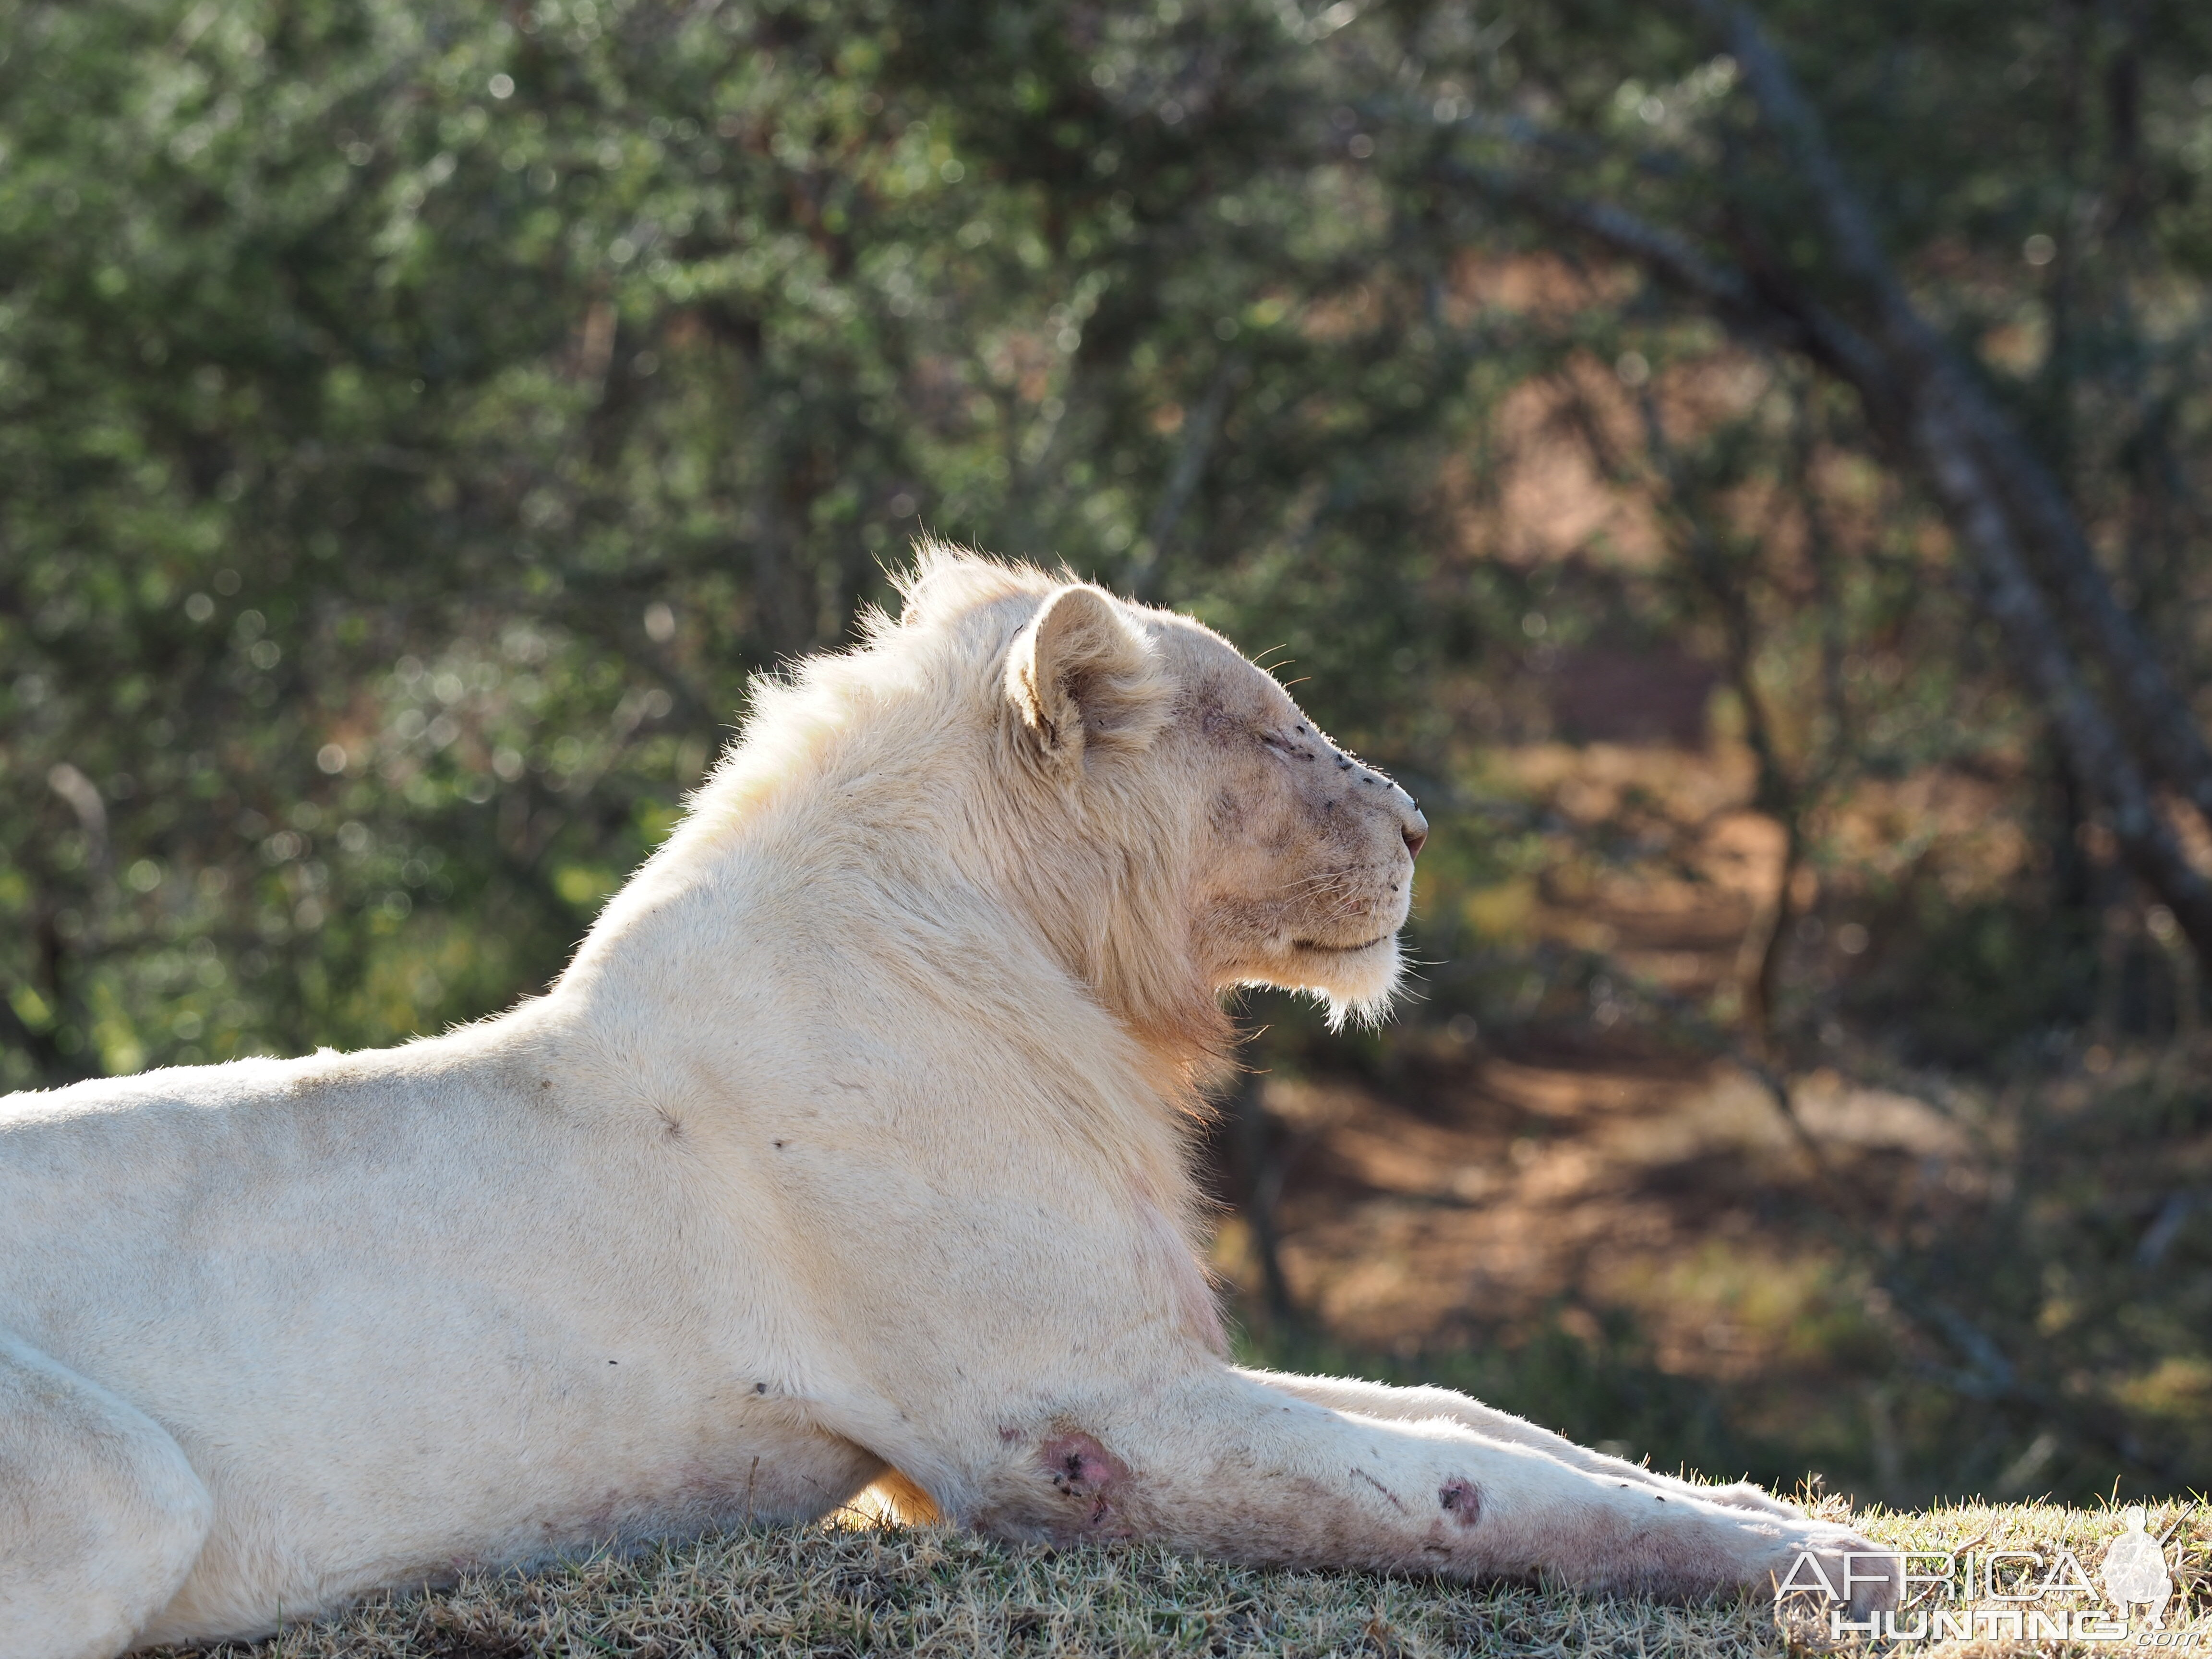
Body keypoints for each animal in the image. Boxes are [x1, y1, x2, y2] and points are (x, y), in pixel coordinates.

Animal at [4, 553, 1902, 1654]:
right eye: (1275, 737)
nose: (1423, 824)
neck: (1057, 975)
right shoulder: (1068, 1428)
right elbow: (1463, 1499)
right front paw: (1833, 1567)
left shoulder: (1142, 1346)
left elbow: (1476, 1421)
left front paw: (1775, 1519)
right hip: (121, 1484)